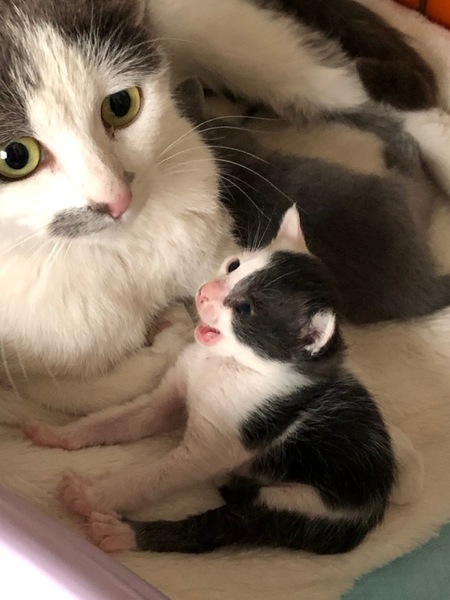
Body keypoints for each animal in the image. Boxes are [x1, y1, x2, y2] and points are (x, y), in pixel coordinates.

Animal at [0, 0, 449, 417]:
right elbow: (68, 392)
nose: (114, 198)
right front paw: (168, 335)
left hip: (226, 34)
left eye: (121, 104)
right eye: (15, 157)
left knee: (373, 97)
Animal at [24, 207, 402, 555]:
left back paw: (125, 534)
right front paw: (59, 435)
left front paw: (92, 494)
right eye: (233, 265)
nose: (204, 292)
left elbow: (153, 477)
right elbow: (121, 418)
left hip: (304, 504)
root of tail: (377, 505)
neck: (227, 363)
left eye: (245, 309)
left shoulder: (210, 449)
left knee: (225, 527)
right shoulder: (171, 393)